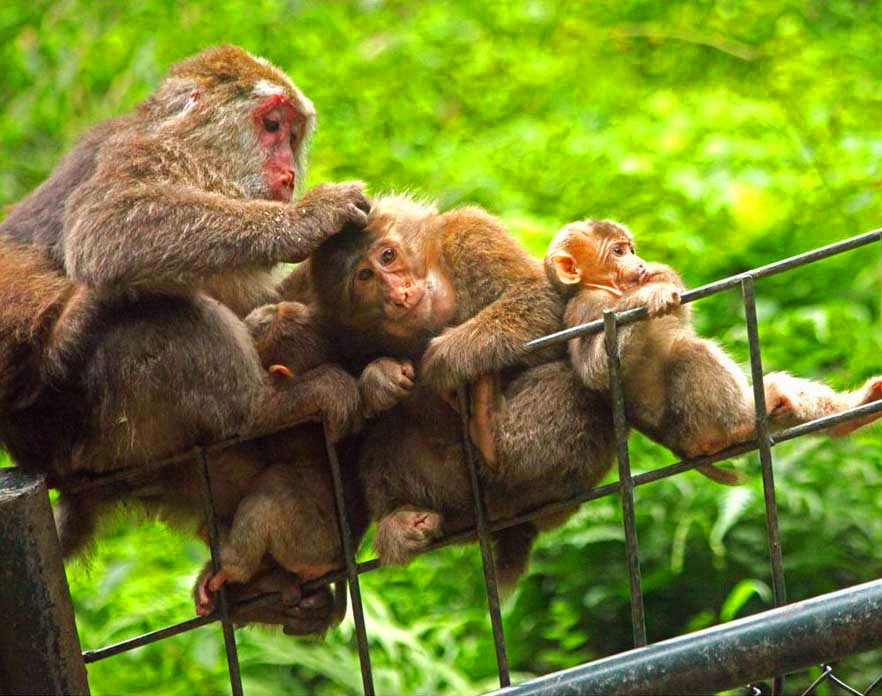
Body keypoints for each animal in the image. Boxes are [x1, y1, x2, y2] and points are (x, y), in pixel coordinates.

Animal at [0, 44, 370, 636]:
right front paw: (305, 220)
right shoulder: (145, 154)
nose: (289, 174)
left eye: (293, 134)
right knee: (151, 312)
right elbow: (109, 226)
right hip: (95, 428)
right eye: (271, 126)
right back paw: (265, 407)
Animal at [544, 218, 880, 468]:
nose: (638, 262)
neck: (607, 289)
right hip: (691, 427)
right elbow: (597, 369)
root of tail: (681, 448)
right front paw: (649, 294)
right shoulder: (586, 308)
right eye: (617, 251)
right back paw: (741, 424)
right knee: (690, 353)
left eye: (631, 249)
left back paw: (853, 411)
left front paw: (660, 275)